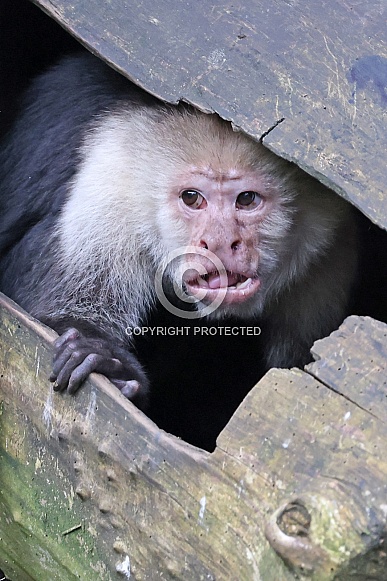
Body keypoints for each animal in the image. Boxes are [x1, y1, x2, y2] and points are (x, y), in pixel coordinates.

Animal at [0, 53, 360, 408]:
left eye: (247, 199)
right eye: (191, 197)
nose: (218, 242)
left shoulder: (327, 250)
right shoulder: (113, 183)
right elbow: (57, 319)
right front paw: (105, 359)